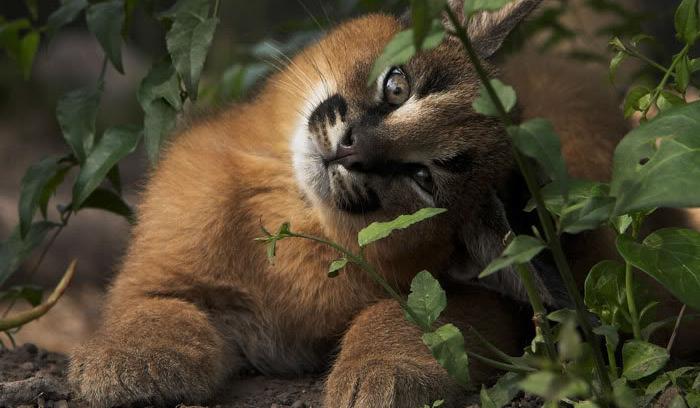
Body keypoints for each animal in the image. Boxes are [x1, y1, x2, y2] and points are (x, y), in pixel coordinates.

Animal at [69, 1, 636, 406]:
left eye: (423, 178)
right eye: (398, 85)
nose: (350, 150)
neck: (286, 203)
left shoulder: (495, 306)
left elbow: (411, 313)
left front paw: (381, 372)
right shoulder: (155, 271)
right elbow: (150, 307)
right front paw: (130, 357)